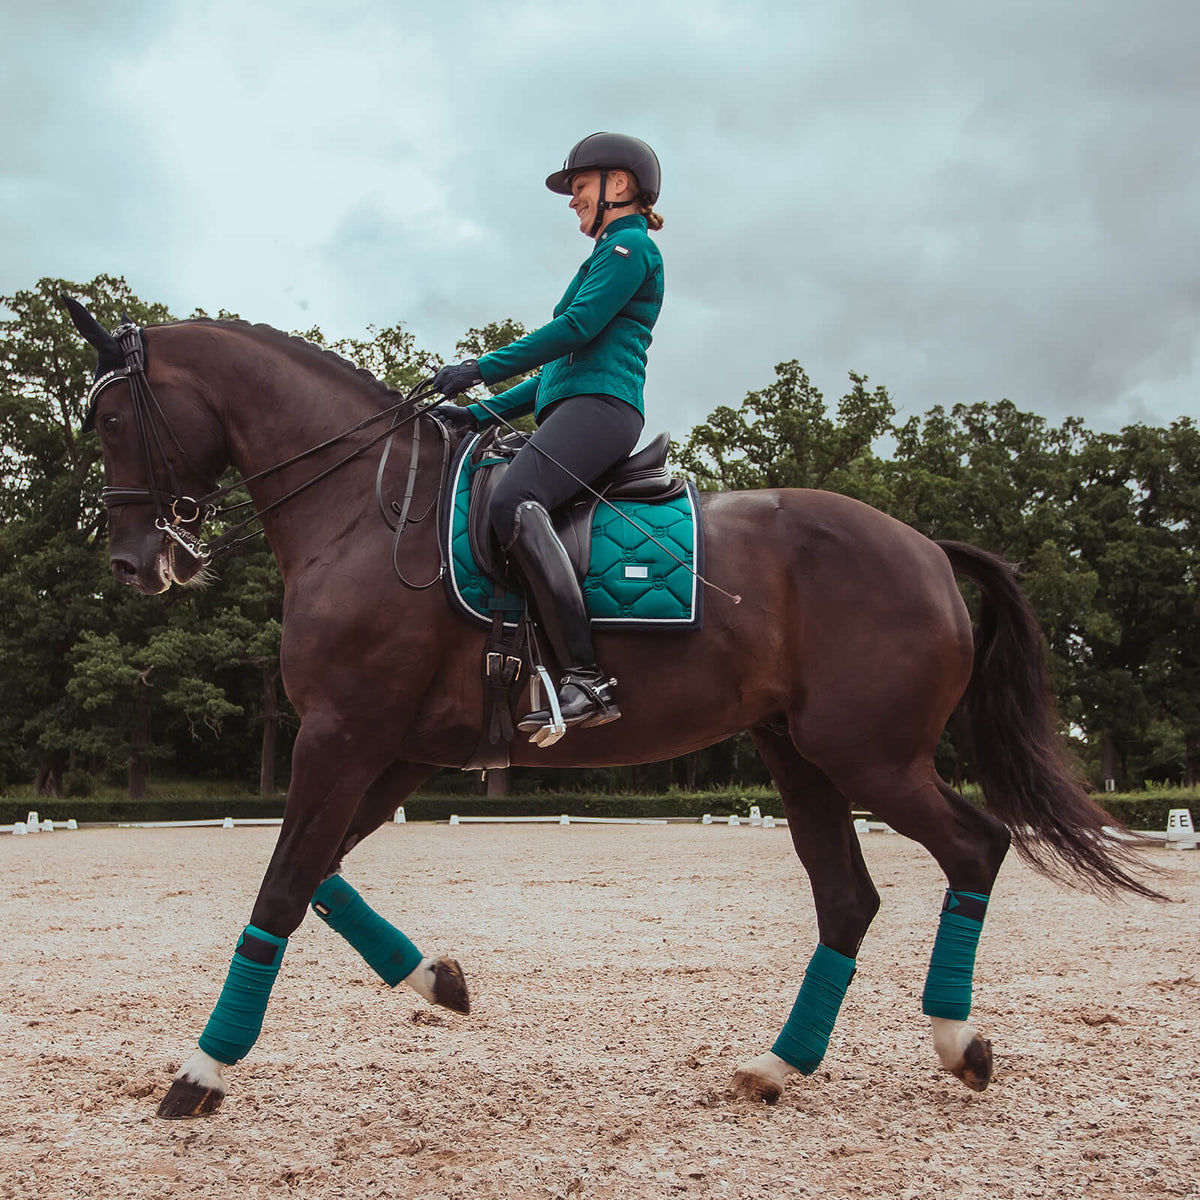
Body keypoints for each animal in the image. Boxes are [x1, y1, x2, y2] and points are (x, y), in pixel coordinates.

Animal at [63, 299, 1159, 1120]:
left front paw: (201, 1071)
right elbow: (320, 874)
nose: (134, 566)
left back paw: (957, 1040)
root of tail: (929, 548)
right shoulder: (396, 748)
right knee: (848, 898)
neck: (368, 511)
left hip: (870, 757)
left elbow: (284, 887)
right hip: (800, 755)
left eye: (111, 422)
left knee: (975, 847)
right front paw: (437, 982)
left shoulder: (344, 736)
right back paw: (779, 1065)